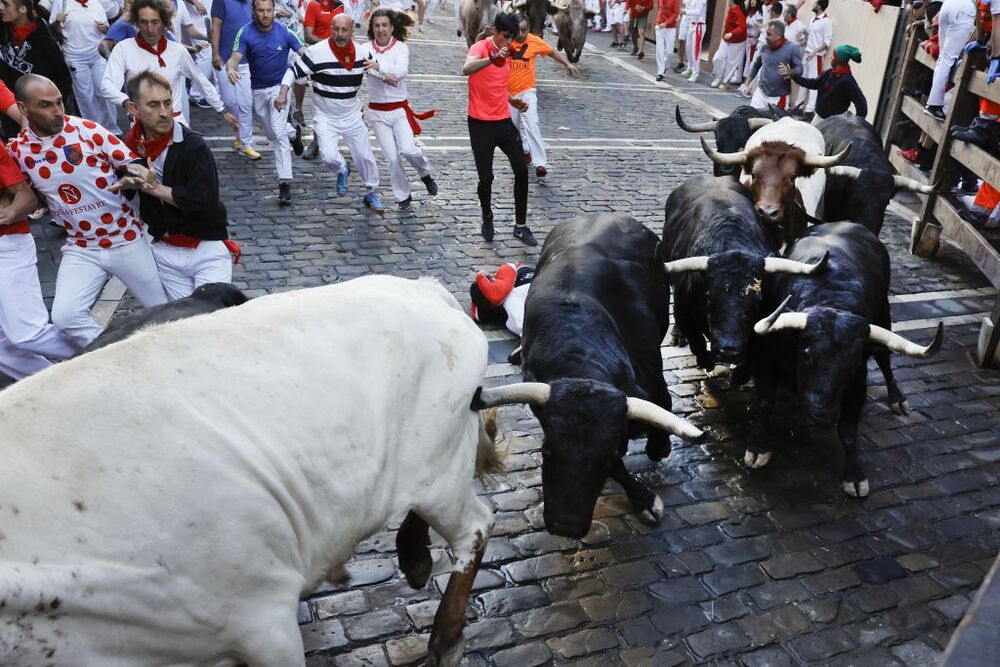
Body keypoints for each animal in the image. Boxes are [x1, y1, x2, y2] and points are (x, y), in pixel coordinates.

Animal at [0, 276, 500, 667]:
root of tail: (423, 287)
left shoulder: (260, 616)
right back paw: (415, 561)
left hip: (438, 467)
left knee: (474, 527)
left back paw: (445, 638)